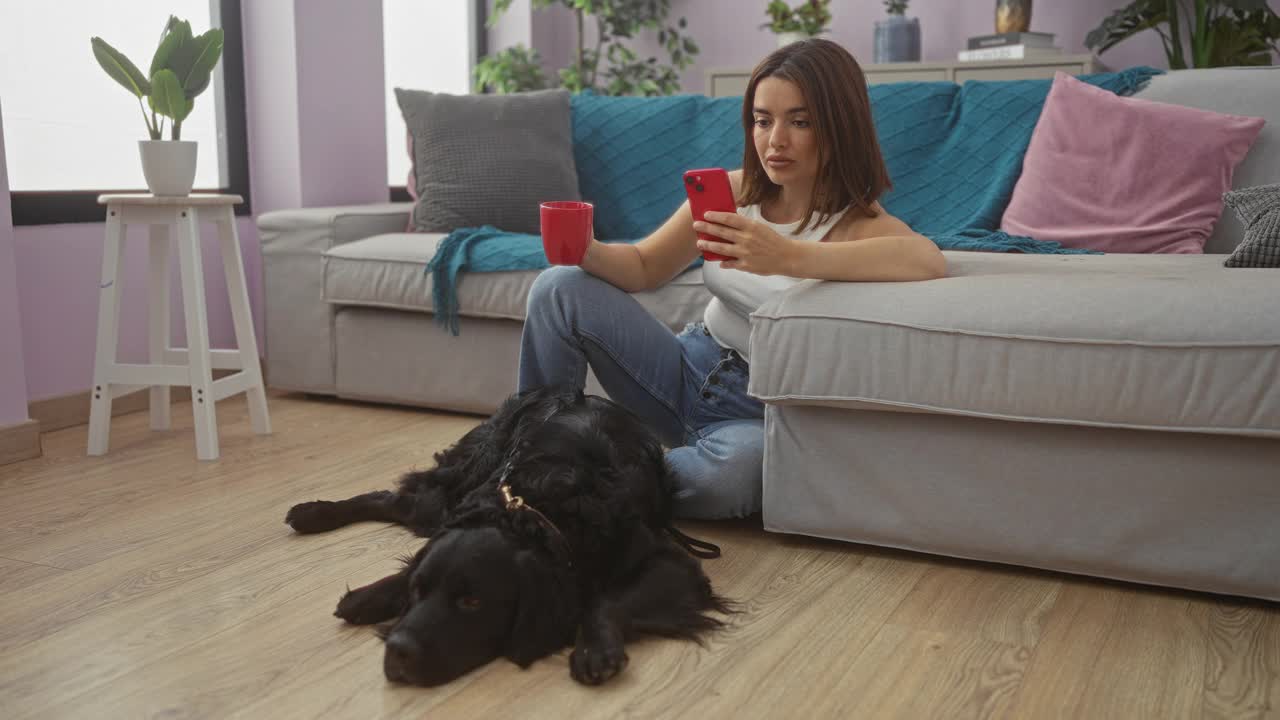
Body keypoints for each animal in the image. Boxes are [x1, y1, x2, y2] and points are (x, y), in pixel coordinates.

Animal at [289, 386, 732, 681]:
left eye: (472, 602)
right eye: (419, 591)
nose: (397, 652)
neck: (539, 509)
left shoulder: (671, 564)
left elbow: (606, 601)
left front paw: (596, 647)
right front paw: (370, 595)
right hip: (454, 489)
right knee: (395, 498)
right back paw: (312, 513)